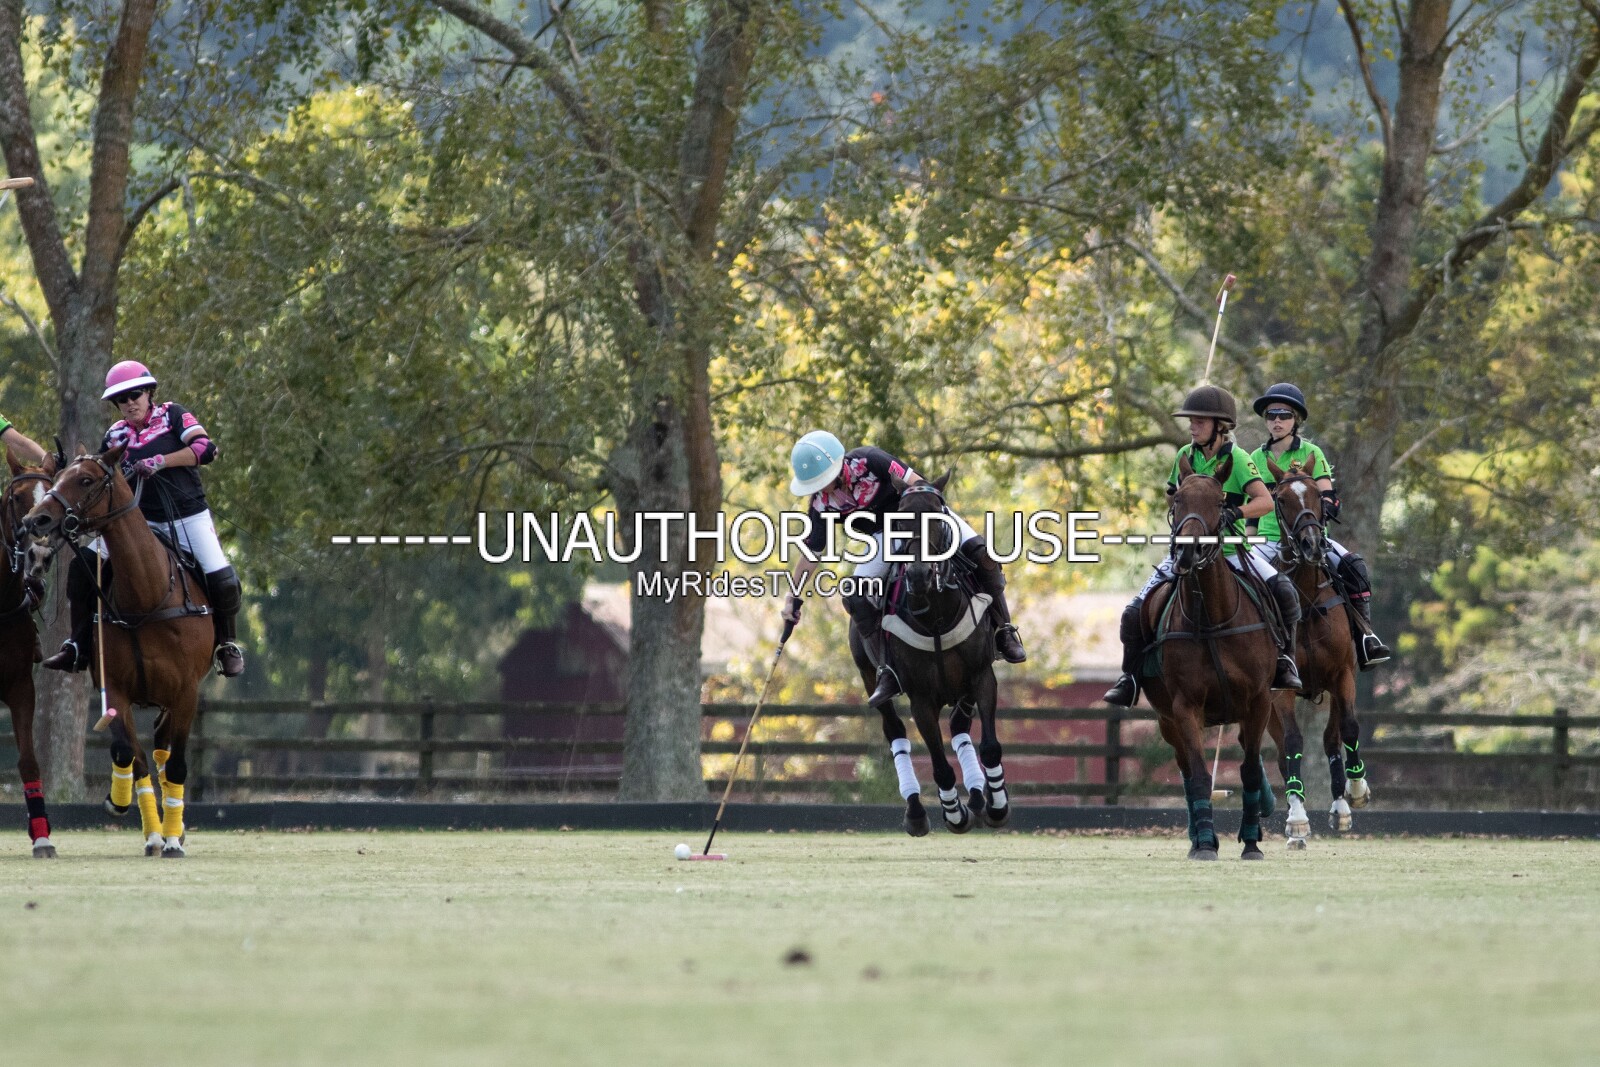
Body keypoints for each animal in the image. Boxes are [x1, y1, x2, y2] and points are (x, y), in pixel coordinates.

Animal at [24, 442, 215, 857]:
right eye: (57, 476)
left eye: (86, 479)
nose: (36, 519)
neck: (145, 599)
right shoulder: (115, 691)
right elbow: (131, 756)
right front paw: (135, 816)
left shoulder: (187, 693)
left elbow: (176, 765)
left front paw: (172, 840)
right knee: (150, 752)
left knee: (166, 754)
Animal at [852, 473, 1010, 837]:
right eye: (900, 519)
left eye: (938, 517)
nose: (919, 575)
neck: (936, 615)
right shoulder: (921, 698)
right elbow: (939, 767)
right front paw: (954, 814)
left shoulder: (981, 676)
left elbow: (990, 746)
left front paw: (997, 806)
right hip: (868, 674)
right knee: (894, 730)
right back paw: (917, 813)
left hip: (963, 686)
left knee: (959, 725)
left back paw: (978, 800)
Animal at [1141, 452, 1278, 860]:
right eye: (1177, 501)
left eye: (1220, 503)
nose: (1188, 550)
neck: (1212, 619)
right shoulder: (1185, 707)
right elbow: (1200, 775)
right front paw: (1204, 843)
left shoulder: (1259, 701)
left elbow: (1250, 770)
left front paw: (1251, 841)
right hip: (1167, 720)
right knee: (1187, 772)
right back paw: (1197, 836)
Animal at [1262, 458, 1372, 845]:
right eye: (1280, 500)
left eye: (1317, 496)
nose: (1311, 544)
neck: (1307, 601)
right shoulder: (1281, 688)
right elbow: (1293, 742)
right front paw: (1297, 820)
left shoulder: (1343, 675)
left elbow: (1348, 730)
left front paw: (1355, 792)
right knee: (1283, 751)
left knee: (1331, 738)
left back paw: (1341, 804)